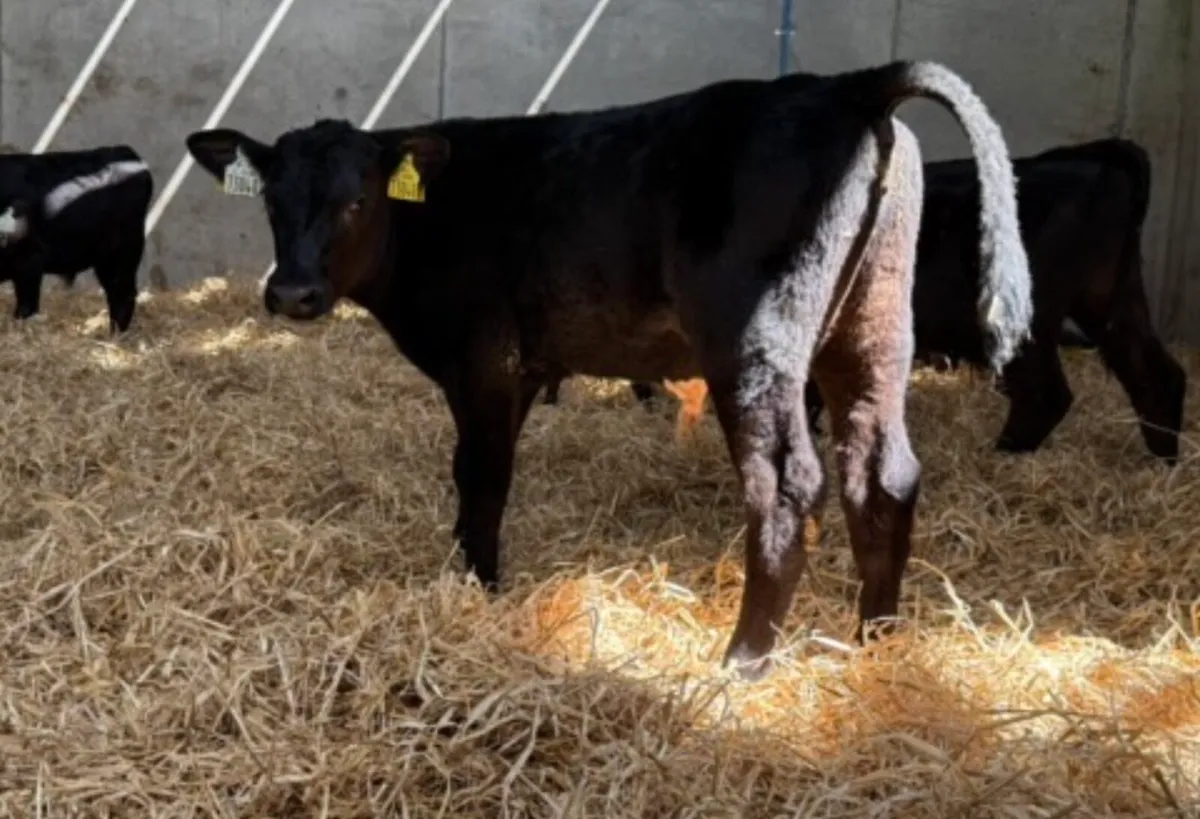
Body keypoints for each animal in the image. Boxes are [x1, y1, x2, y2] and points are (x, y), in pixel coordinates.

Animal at [0, 145, 152, 332]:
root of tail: (133, 158)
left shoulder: (29, 261)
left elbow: (27, 305)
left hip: (125, 249)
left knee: (122, 293)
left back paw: (117, 334)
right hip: (105, 259)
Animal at [184, 59, 1032, 681]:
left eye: (357, 200)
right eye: (271, 201)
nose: (292, 291)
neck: (428, 223)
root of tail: (846, 86)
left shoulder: (484, 358)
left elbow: (480, 474)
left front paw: (480, 584)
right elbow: (476, 471)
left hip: (757, 341)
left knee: (789, 486)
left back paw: (743, 659)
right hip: (872, 328)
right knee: (881, 472)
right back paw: (875, 640)